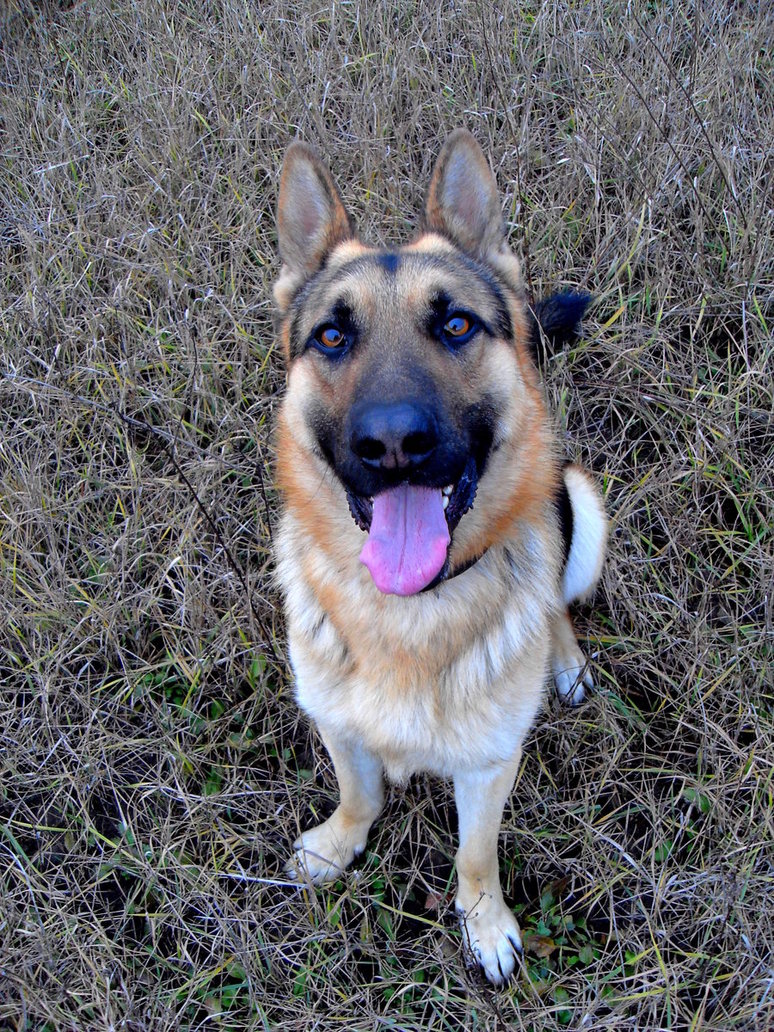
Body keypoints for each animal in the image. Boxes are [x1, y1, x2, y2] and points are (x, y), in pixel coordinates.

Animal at [270, 131, 606, 982]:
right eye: (331, 336)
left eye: (455, 325)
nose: (393, 443)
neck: (408, 611)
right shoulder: (340, 728)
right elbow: (360, 797)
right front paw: (337, 847)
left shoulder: (488, 767)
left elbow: (474, 855)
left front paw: (484, 924)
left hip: (583, 505)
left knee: (556, 596)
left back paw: (564, 661)